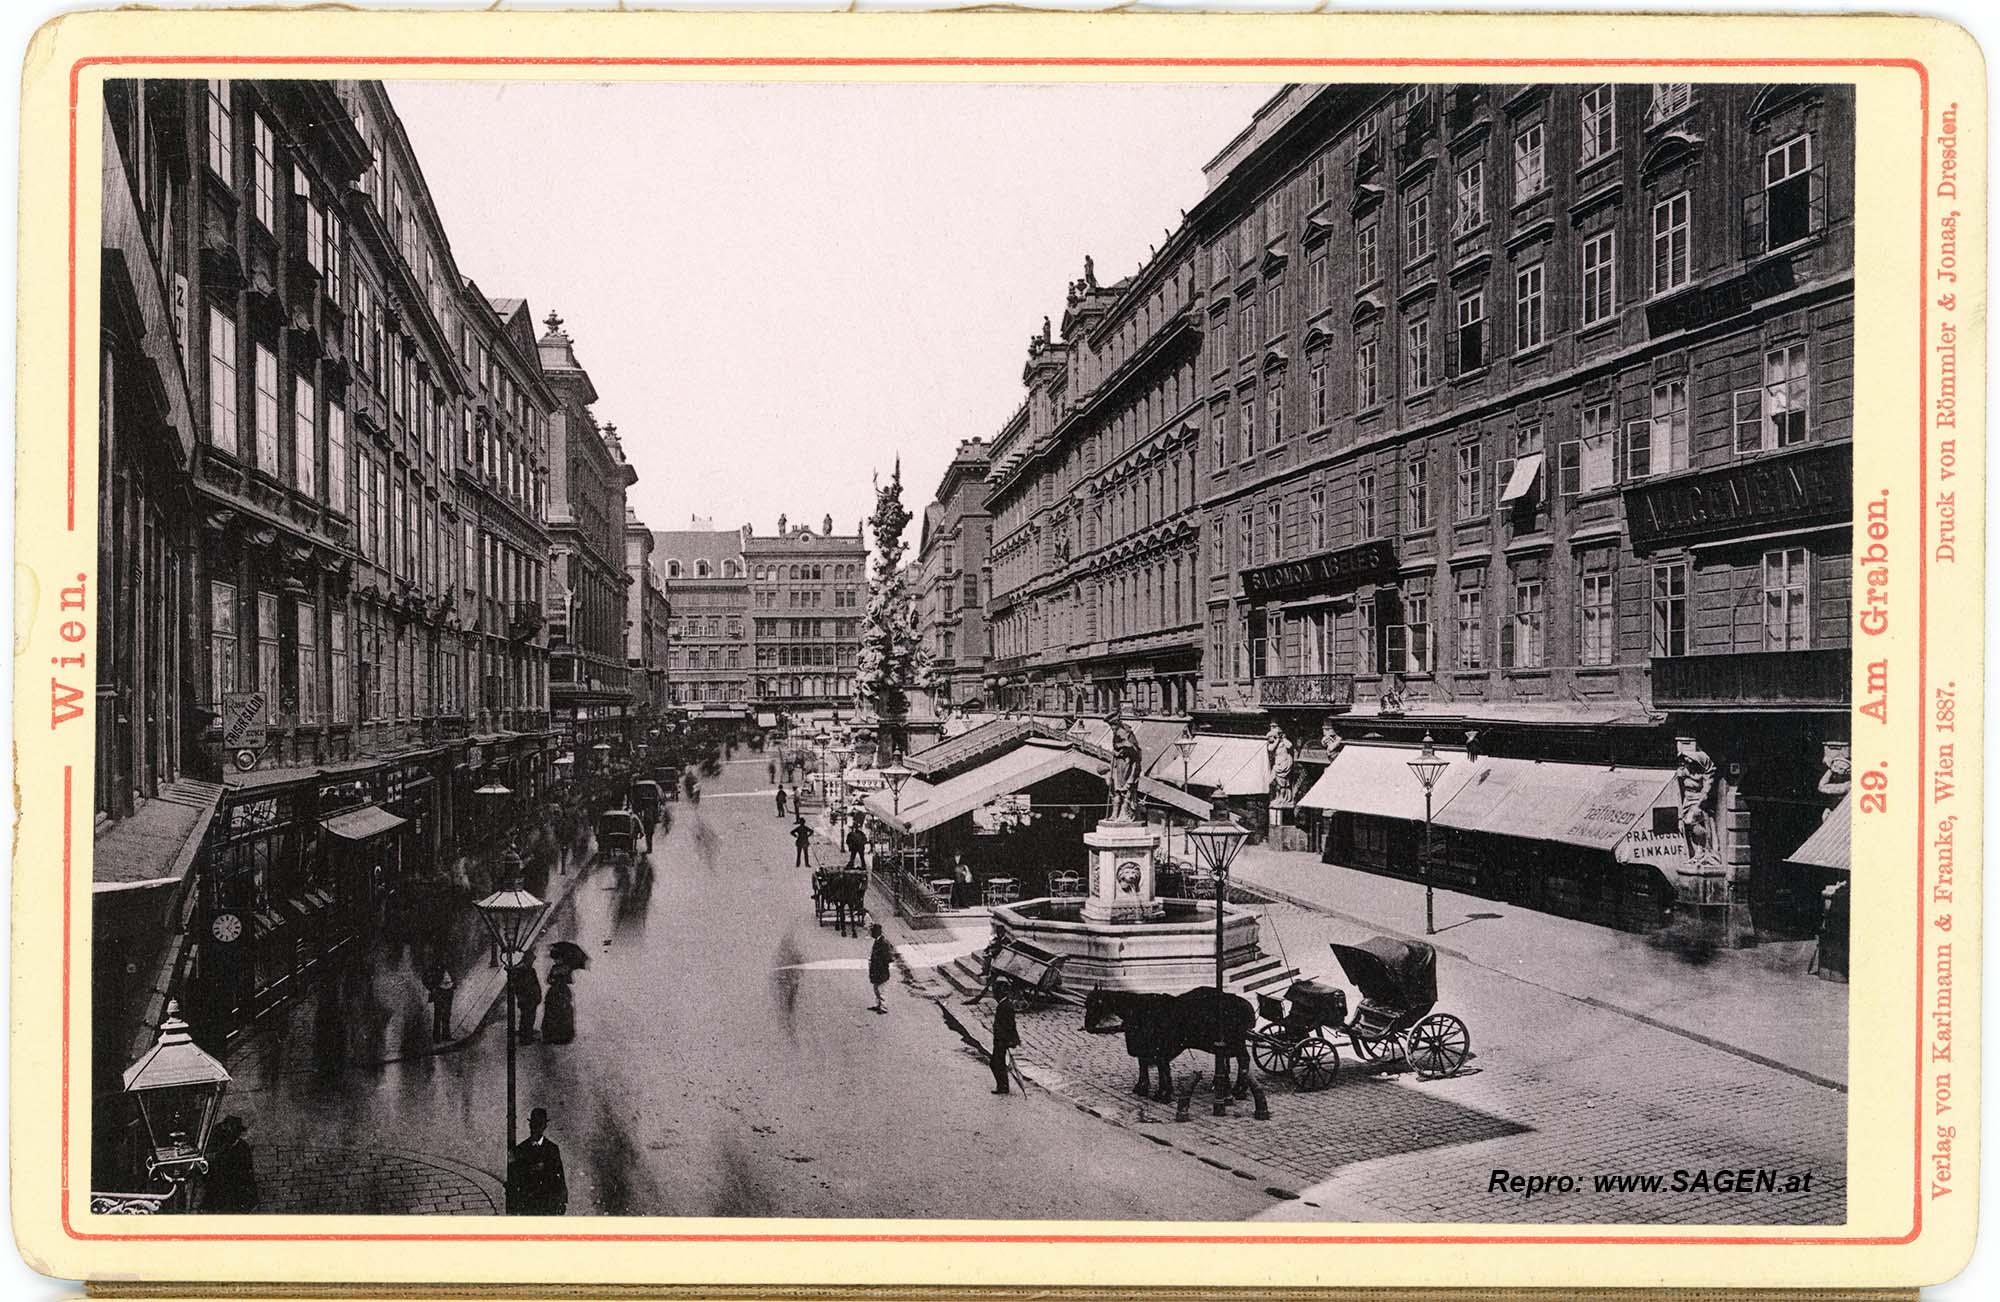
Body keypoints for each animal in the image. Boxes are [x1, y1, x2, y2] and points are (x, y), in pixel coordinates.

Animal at [1088, 988, 1256, 1104]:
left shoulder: (1159, 1050)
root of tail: (1246, 1005)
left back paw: (1238, 1090)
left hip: (1236, 1042)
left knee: (1244, 1060)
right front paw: (1146, 1089)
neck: (1141, 1012)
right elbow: (1149, 1068)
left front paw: (1163, 1094)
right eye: (1087, 1004)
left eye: (1095, 1005)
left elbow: (1162, 1070)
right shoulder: (1148, 1050)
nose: (1088, 1027)